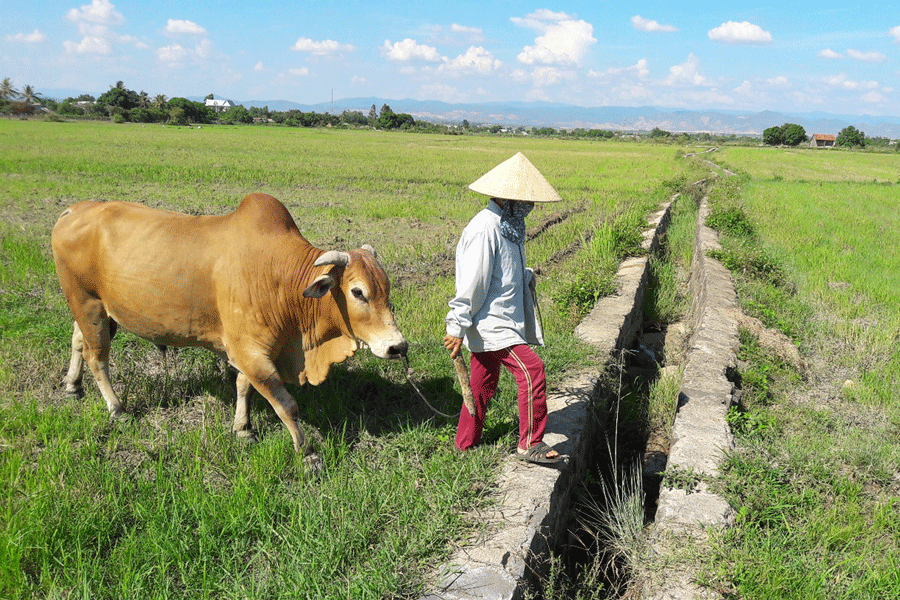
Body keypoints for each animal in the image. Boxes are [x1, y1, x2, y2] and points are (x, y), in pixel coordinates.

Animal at [51, 192, 410, 454]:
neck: (281, 278)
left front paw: (243, 428)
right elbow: (286, 405)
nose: (398, 346)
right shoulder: (252, 353)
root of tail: (73, 210)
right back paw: (117, 408)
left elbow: (243, 387)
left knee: (78, 340)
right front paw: (307, 452)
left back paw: (73, 385)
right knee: (97, 357)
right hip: (87, 304)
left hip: (94, 309)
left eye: (387, 289)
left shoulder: (248, 351)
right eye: (358, 292)